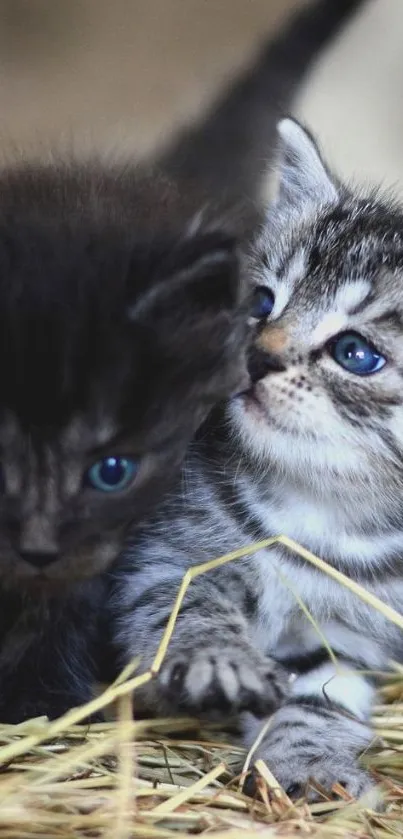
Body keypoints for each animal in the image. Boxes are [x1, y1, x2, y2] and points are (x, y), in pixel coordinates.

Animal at [114, 118, 403, 800]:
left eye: (356, 353)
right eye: (261, 304)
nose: (258, 355)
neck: (322, 511)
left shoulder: (352, 633)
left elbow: (321, 695)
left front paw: (314, 764)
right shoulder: (165, 553)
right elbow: (181, 604)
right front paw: (217, 658)